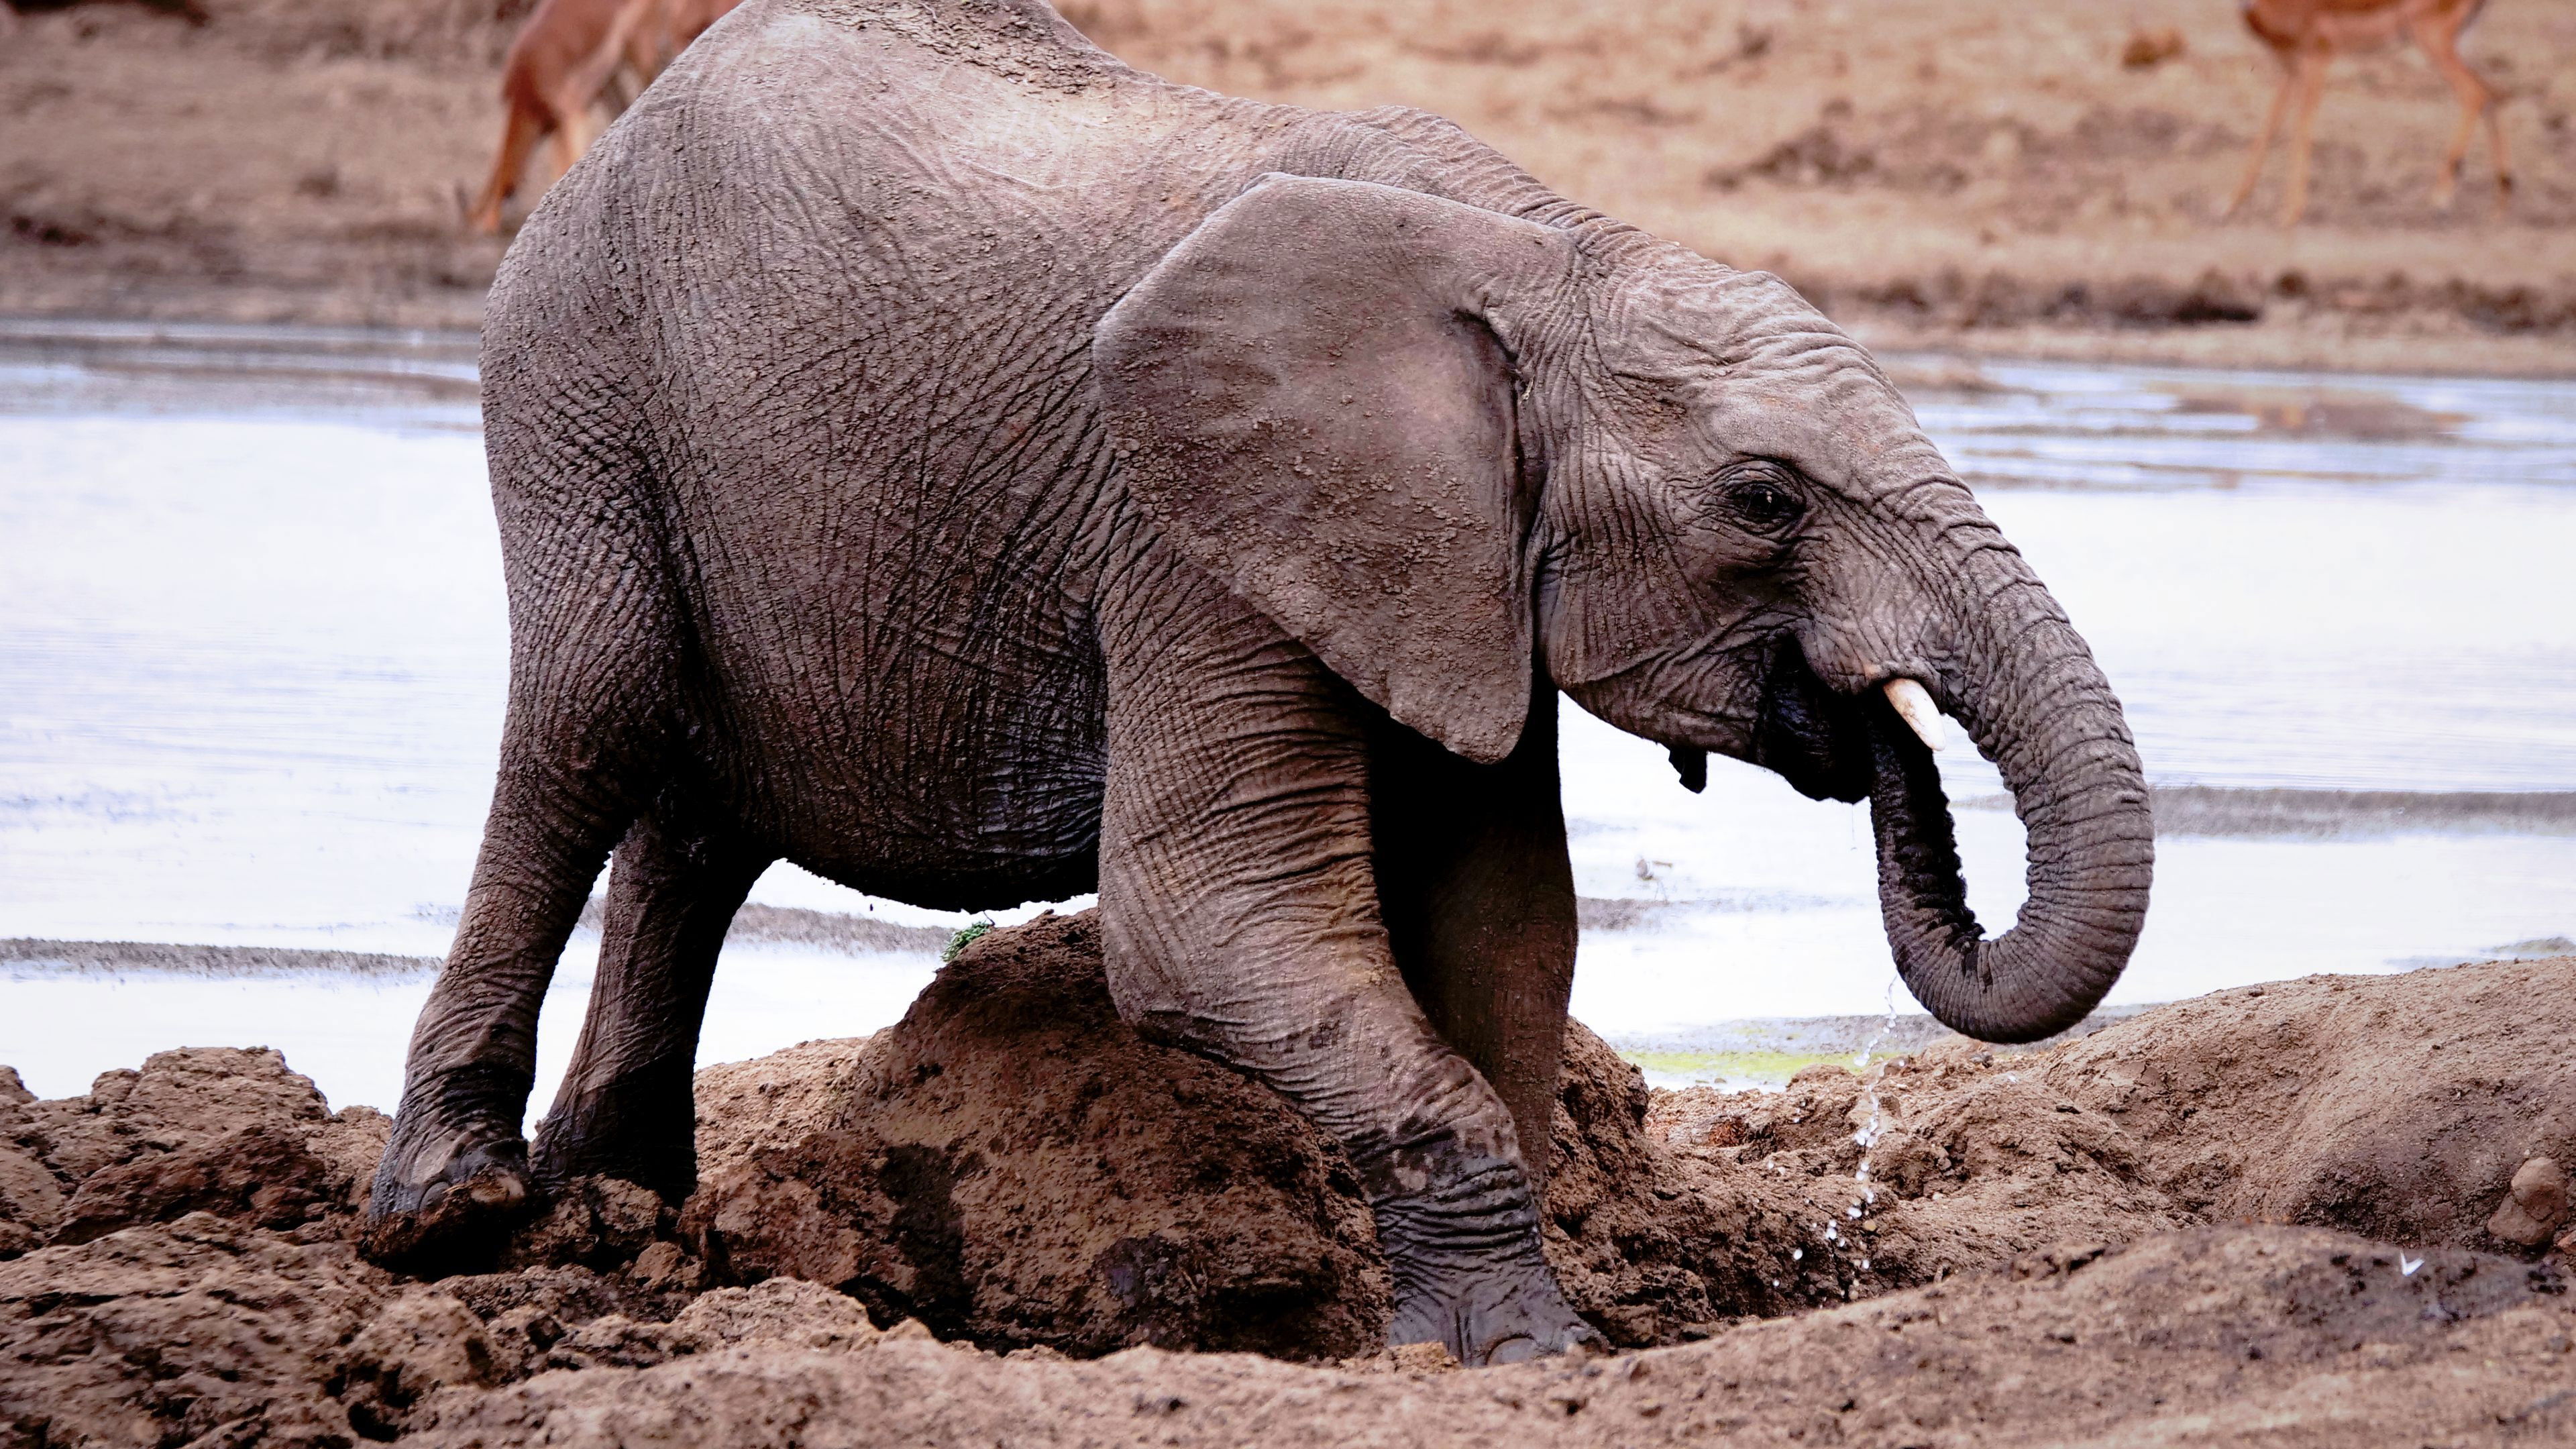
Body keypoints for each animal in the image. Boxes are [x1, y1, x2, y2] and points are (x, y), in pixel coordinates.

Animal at [368, 0, 2154, 1366]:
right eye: (1766, 499)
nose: (1874, 728)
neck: (1545, 257)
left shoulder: (1444, 563)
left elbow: (1505, 931)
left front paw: (1494, 1330)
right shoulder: (1191, 536)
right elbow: (1207, 925)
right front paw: (1517, 1351)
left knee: (699, 817)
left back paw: (629, 1212)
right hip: (576, 376)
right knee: (587, 730)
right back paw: (457, 1214)